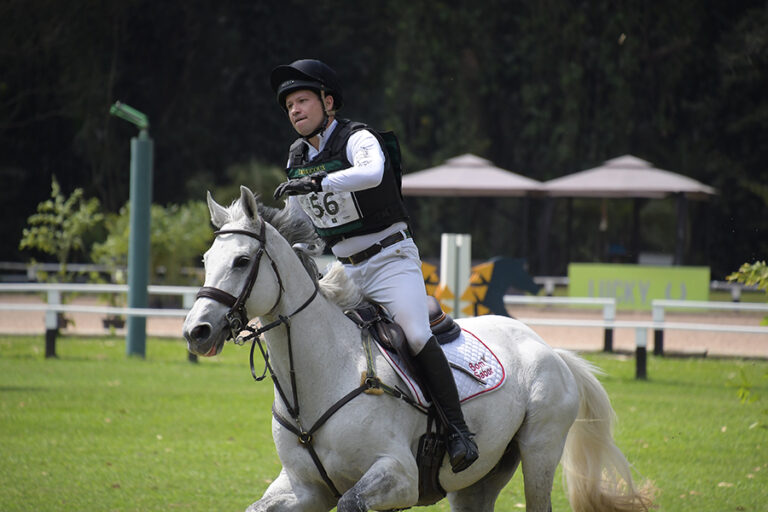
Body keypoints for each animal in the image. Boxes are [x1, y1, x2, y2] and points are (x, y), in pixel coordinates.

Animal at [182, 187, 656, 512]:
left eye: (242, 261)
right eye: (205, 260)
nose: (196, 332)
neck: (318, 377)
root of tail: (549, 349)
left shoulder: (397, 475)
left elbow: (352, 501)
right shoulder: (304, 489)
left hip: (540, 452)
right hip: (479, 480)